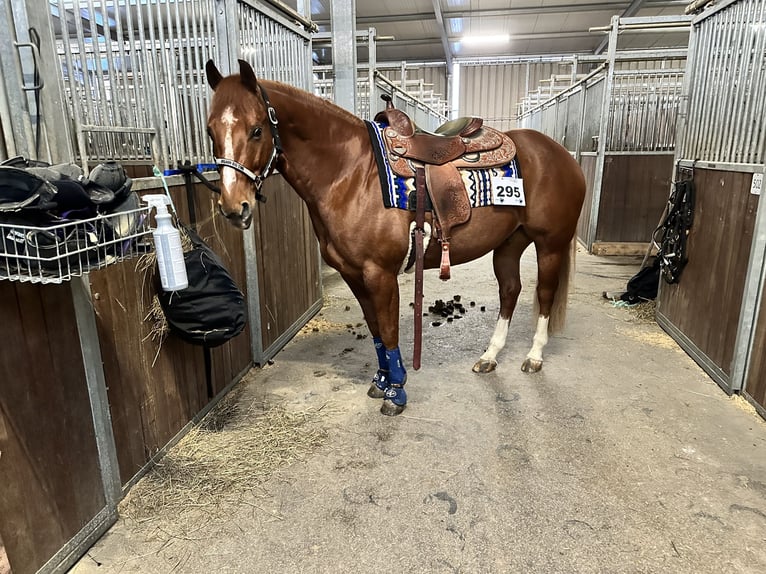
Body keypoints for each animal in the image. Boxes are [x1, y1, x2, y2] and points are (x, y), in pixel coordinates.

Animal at [204, 59, 588, 418]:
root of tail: (559, 154)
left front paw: (397, 391)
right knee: (510, 291)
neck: (351, 174)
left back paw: (534, 356)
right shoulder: (353, 274)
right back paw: (490, 356)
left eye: (256, 130)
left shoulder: (380, 273)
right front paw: (382, 380)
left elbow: (388, 330)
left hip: (550, 244)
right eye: (210, 131)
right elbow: (375, 329)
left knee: (545, 293)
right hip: (509, 244)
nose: (233, 206)